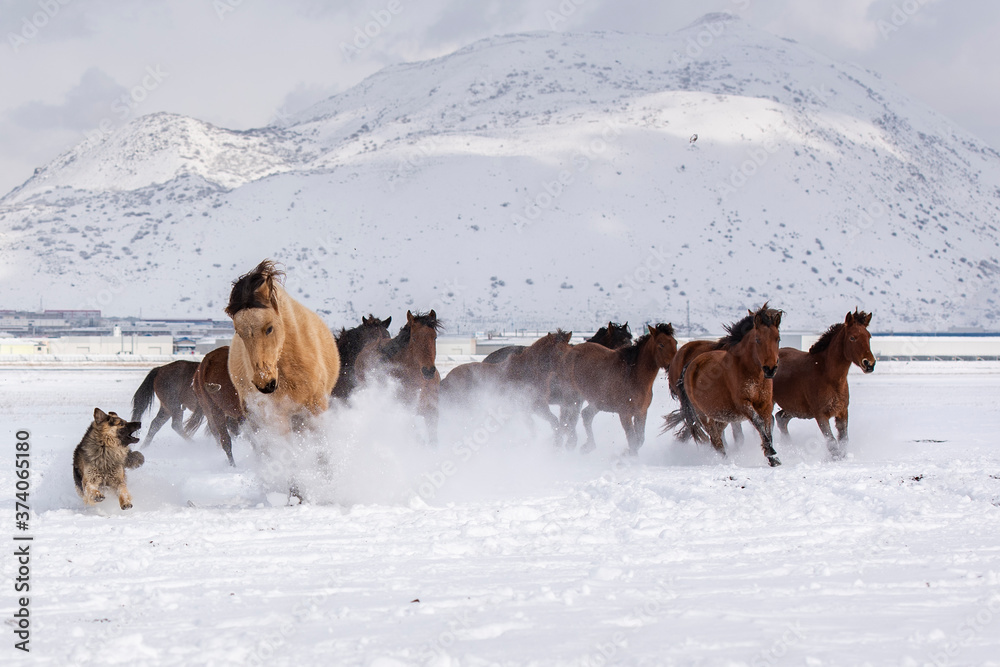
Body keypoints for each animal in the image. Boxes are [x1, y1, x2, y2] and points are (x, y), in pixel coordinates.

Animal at [440, 330, 573, 433]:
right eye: (559, 351)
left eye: (570, 349)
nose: (570, 371)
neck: (527, 372)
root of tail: (446, 379)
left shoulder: (539, 407)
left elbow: (552, 423)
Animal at [559, 324, 677, 455]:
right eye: (661, 344)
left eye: (675, 342)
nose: (674, 366)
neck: (633, 375)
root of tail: (569, 352)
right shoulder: (625, 414)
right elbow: (632, 440)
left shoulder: (641, 413)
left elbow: (639, 440)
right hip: (572, 396)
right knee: (568, 419)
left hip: (595, 401)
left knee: (585, 415)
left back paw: (587, 446)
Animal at [663, 304, 783, 466]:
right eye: (758, 340)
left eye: (778, 339)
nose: (770, 369)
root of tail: (689, 364)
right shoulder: (743, 404)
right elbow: (758, 423)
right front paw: (771, 453)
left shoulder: (766, 404)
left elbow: (768, 427)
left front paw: (773, 459)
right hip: (703, 416)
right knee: (715, 440)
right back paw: (725, 461)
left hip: (721, 415)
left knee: (717, 435)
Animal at [773, 309, 875, 459]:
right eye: (852, 338)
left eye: (869, 337)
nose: (869, 364)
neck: (829, 377)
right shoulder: (821, 415)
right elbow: (832, 443)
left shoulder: (842, 412)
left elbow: (843, 440)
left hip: (795, 409)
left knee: (780, 419)